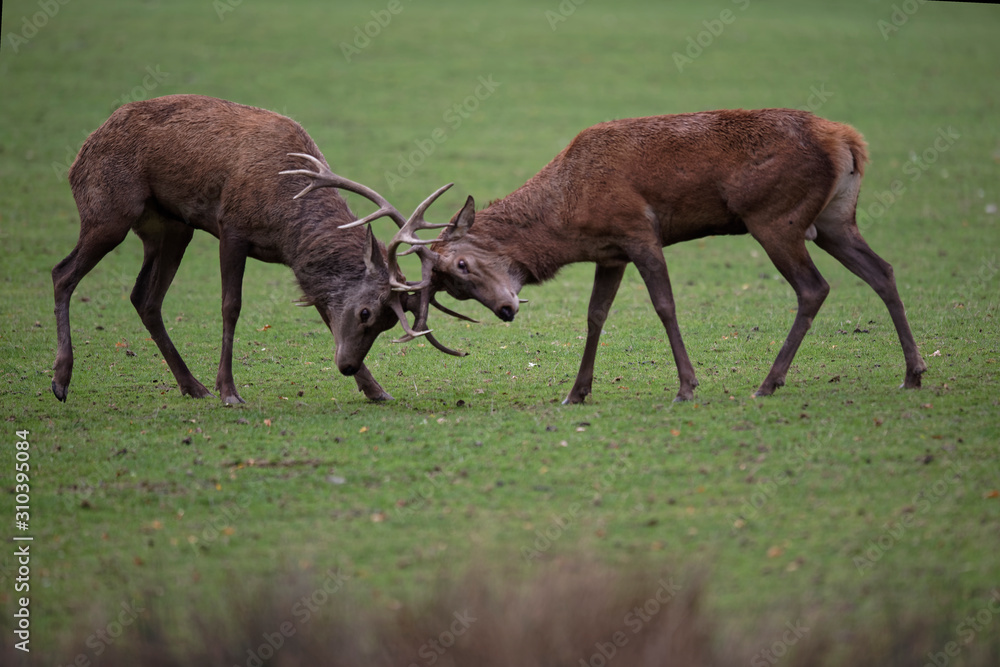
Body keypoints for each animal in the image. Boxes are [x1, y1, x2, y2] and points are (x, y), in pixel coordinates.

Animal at [51, 94, 461, 405]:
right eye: (365, 313)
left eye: (388, 322)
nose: (346, 366)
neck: (286, 223)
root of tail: (80, 154)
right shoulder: (231, 227)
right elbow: (231, 306)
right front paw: (229, 391)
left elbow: (324, 310)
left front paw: (375, 389)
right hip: (109, 212)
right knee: (62, 273)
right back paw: (61, 379)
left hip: (171, 228)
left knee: (144, 298)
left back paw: (192, 386)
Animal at [404, 108, 928, 403]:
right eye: (456, 290)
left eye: (461, 265)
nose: (506, 310)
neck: (568, 217)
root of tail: (847, 140)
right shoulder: (610, 253)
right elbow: (595, 315)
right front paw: (576, 392)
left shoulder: (639, 232)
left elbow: (664, 305)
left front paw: (687, 387)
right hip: (836, 220)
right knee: (882, 271)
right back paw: (912, 373)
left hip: (776, 218)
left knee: (814, 287)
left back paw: (768, 383)